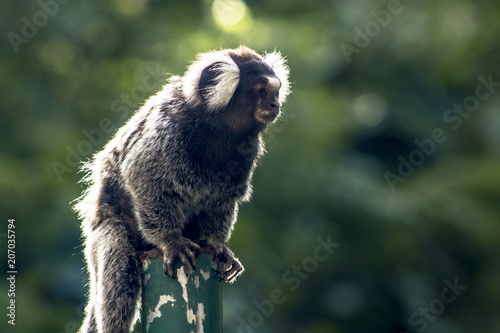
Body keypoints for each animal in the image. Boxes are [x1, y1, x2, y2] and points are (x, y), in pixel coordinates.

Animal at [74, 45, 292, 330]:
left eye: (276, 91)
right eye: (261, 91)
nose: (275, 105)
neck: (217, 130)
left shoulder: (246, 152)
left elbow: (223, 199)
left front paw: (216, 244)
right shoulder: (168, 129)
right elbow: (142, 174)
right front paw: (172, 241)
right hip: (103, 232)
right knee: (119, 270)